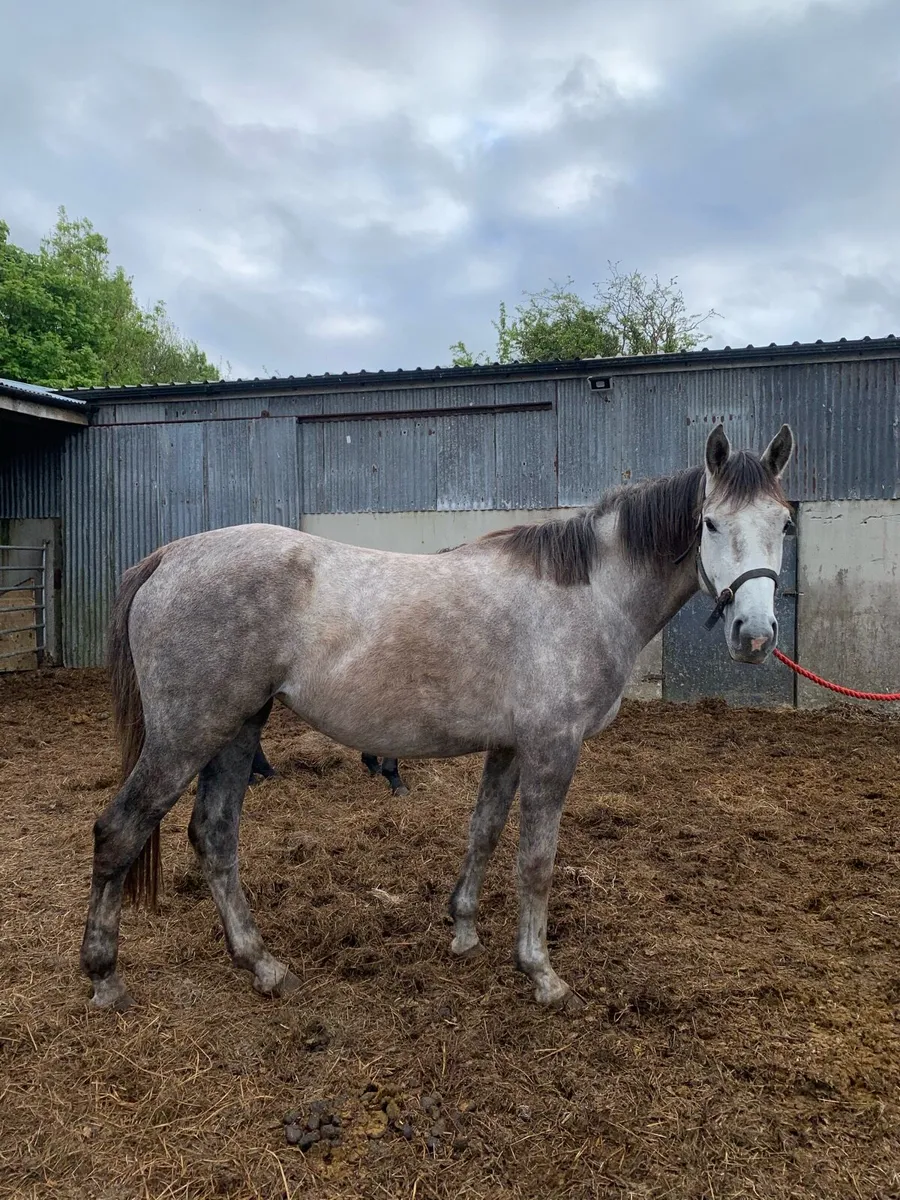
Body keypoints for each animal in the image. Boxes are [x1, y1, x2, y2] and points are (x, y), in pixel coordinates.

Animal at [80, 422, 795, 1015]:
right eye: (709, 523)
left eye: (784, 524)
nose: (755, 635)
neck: (587, 595)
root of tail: (170, 557)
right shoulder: (553, 748)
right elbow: (536, 859)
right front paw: (542, 974)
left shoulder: (509, 747)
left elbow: (484, 832)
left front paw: (465, 930)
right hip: (188, 734)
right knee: (120, 830)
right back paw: (104, 977)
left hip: (236, 730)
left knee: (215, 836)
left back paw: (263, 965)